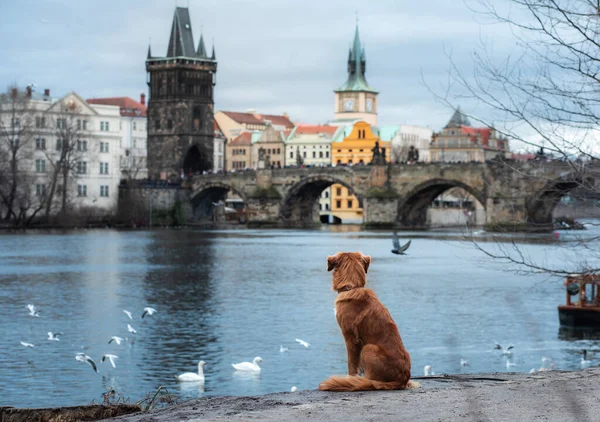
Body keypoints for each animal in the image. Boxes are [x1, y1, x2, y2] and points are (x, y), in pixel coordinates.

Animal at [318, 251, 418, 392]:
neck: (352, 287)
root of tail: (402, 380)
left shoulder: (350, 337)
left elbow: (351, 363)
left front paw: (350, 379)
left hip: (369, 348)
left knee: (370, 380)